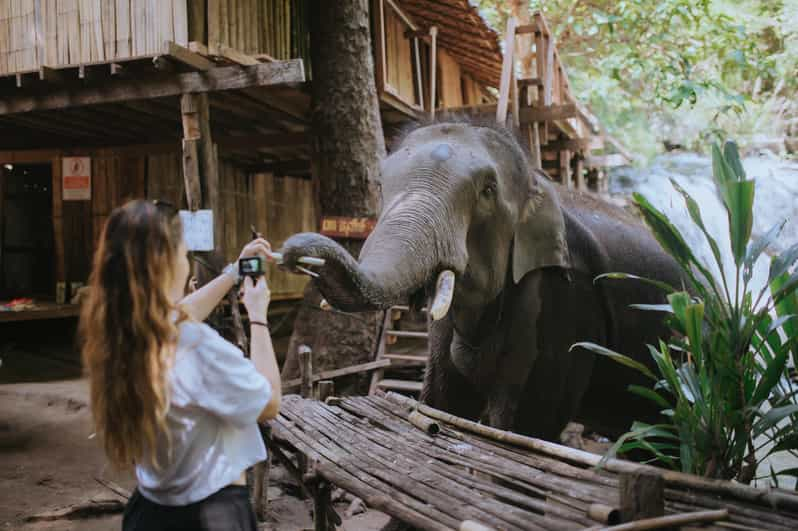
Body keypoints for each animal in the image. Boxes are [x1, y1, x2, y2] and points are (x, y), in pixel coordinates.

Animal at [282, 120, 680, 440]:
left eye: (487, 191)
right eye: (382, 185)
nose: (294, 251)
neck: (537, 181)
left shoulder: (564, 302)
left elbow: (523, 425)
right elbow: (442, 402)